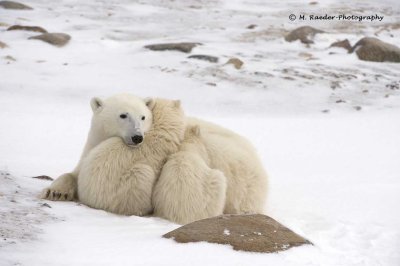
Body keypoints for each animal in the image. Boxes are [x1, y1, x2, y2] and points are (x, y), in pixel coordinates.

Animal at [40, 93, 268, 224]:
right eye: (123, 115)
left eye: (142, 116)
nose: (137, 137)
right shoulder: (92, 145)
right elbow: (75, 172)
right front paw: (55, 191)